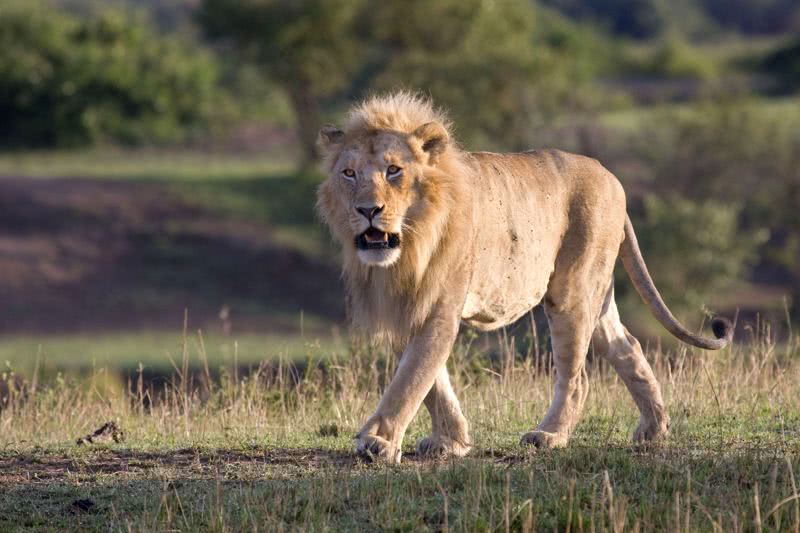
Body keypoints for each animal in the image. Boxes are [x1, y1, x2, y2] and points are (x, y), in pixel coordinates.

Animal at [316, 92, 736, 462]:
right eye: (349, 173)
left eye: (394, 170)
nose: (368, 210)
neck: (409, 247)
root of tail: (612, 179)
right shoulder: (405, 307)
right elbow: (432, 381)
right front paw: (451, 441)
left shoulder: (439, 306)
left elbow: (411, 379)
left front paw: (378, 442)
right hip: (598, 293)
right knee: (627, 346)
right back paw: (653, 429)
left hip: (571, 290)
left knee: (578, 377)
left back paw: (549, 436)